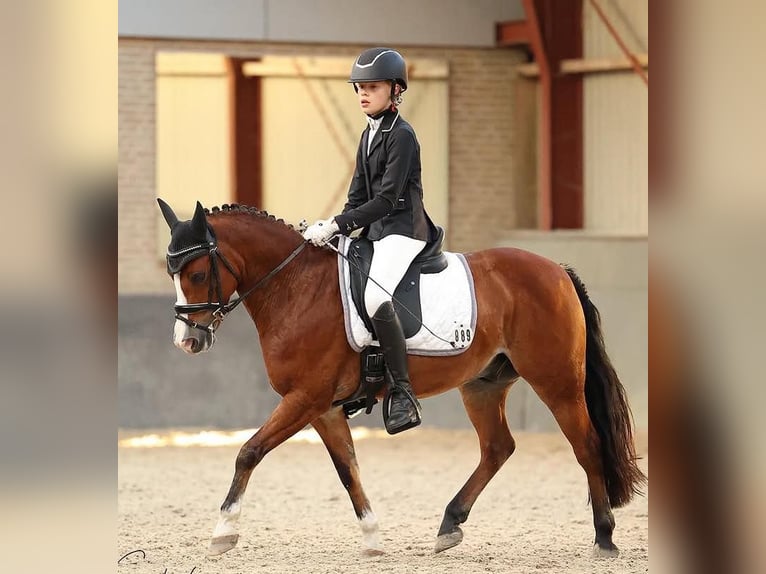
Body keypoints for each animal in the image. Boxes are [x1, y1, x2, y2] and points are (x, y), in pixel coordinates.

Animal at [157, 199, 646, 558]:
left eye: (197, 273)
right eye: (172, 273)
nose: (187, 341)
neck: (295, 287)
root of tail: (557, 270)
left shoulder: (305, 398)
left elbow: (249, 452)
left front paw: (223, 531)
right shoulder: (321, 408)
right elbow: (347, 468)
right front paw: (373, 538)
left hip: (557, 382)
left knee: (587, 445)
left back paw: (604, 537)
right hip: (483, 385)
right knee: (497, 448)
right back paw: (449, 524)